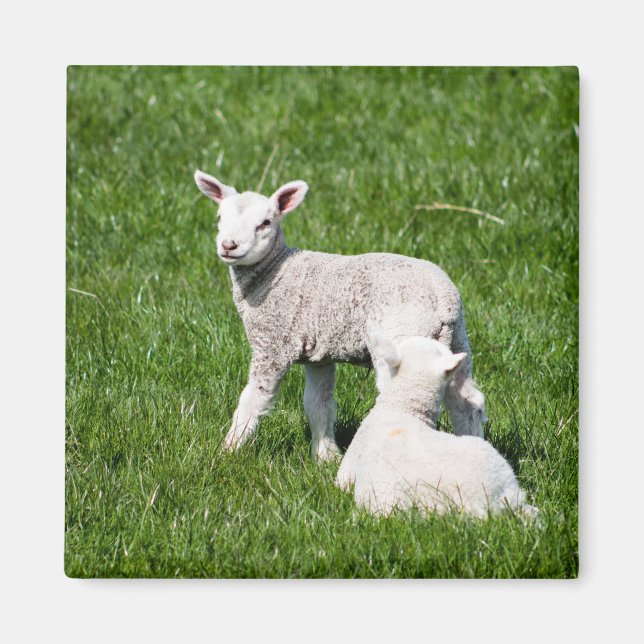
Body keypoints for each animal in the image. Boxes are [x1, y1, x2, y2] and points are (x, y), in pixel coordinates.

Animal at [194, 170, 487, 461]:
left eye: (265, 223)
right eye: (219, 218)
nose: (229, 245)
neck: (273, 272)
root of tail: (443, 297)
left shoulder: (273, 345)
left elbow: (253, 399)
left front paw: (226, 451)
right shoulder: (317, 355)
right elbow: (318, 404)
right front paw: (326, 456)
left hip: (402, 334)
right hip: (457, 340)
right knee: (467, 402)